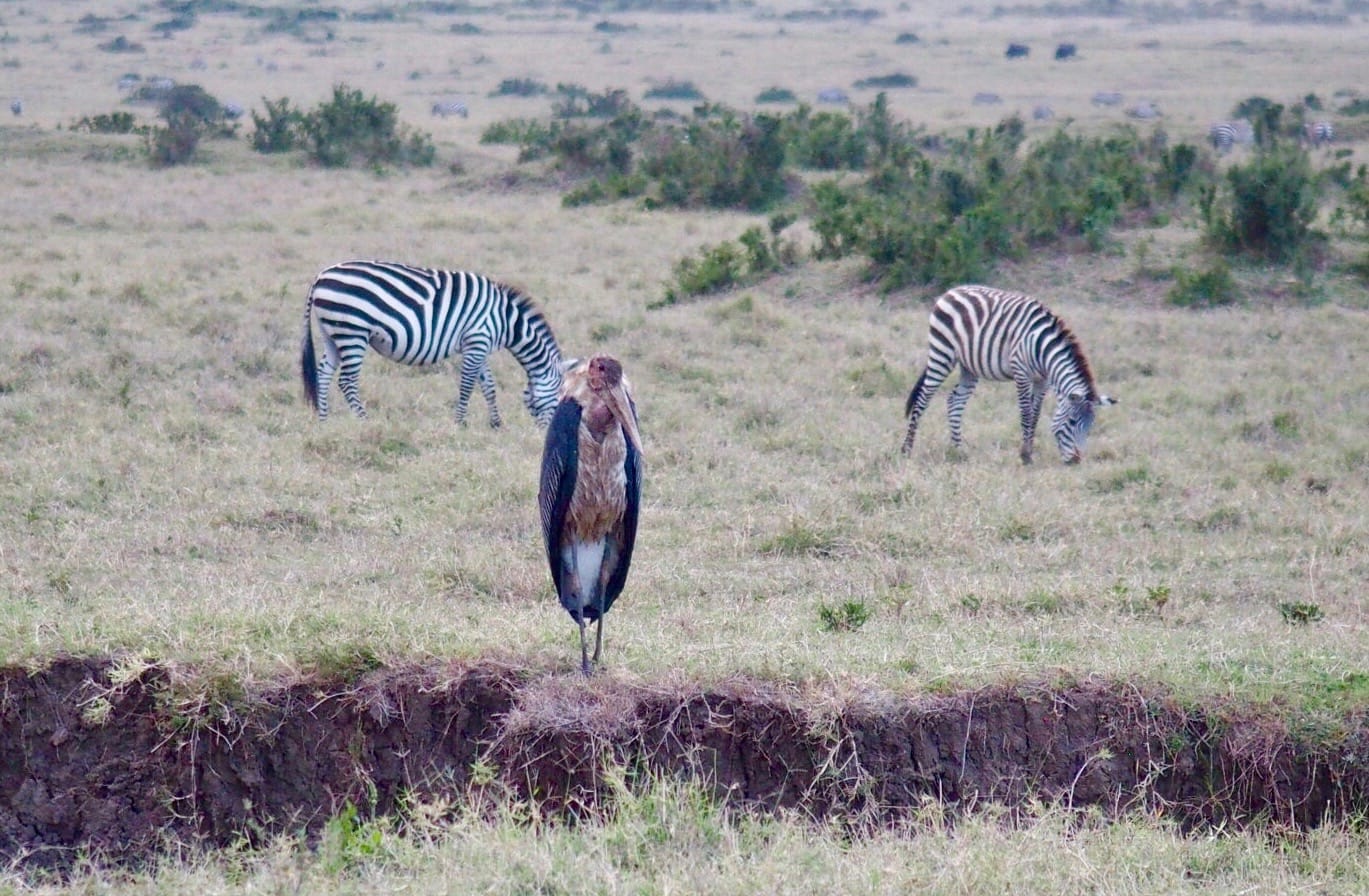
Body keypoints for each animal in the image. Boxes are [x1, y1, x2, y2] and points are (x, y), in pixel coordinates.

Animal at [303, 260, 566, 427]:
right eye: (558, 400)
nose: (545, 433)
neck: (507, 321)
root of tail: (321, 276)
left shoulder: (479, 345)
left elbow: (489, 385)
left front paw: (496, 423)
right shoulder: (477, 341)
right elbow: (467, 385)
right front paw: (460, 423)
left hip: (332, 333)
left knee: (323, 373)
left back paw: (324, 421)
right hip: (352, 331)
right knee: (346, 381)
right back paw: (364, 421)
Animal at [903, 286, 1117, 471]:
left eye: (1090, 427)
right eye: (1072, 422)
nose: (1075, 461)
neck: (1044, 350)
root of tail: (951, 291)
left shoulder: (1042, 380)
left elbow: (1035, 414)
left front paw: (1029, 451)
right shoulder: (1021, 373)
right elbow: (1026, 414)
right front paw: (1025, 456)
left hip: (969, 367)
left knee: (955, 401)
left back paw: (958, 450)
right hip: (943, 352)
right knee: (923, 399)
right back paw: (907, 450)